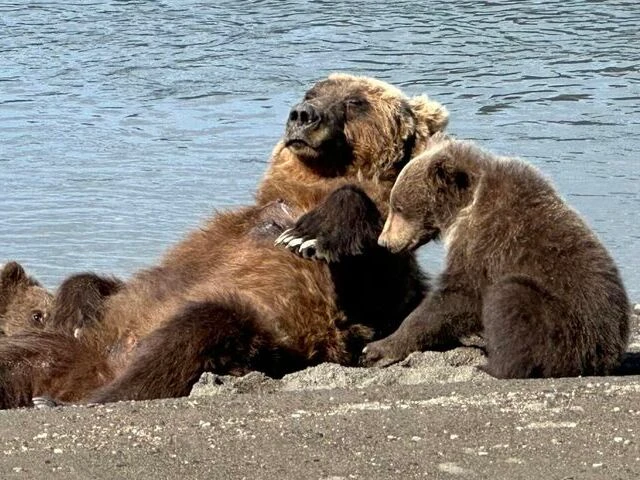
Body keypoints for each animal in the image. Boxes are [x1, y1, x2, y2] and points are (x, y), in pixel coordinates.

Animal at [0, 73, 448, 408]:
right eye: (313, 91)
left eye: (356, 102)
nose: (303, 114)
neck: (301, 193)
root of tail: (86, 374)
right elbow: (103, 282)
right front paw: (75, 307)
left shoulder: (360, 295)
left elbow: (371, 289)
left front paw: (310, 233)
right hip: (61, 350)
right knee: (18, 356)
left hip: (255, 339)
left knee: (197, 327)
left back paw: (78, 399)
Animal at [362, 134, 630, 378]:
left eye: (398, 207)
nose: (384, 242)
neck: (464, 207)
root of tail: (608, 353)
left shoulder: (487, 243)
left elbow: (455, 298)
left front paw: (377, 348)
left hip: (567, 325)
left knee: (511, 297)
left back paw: (492, 366)